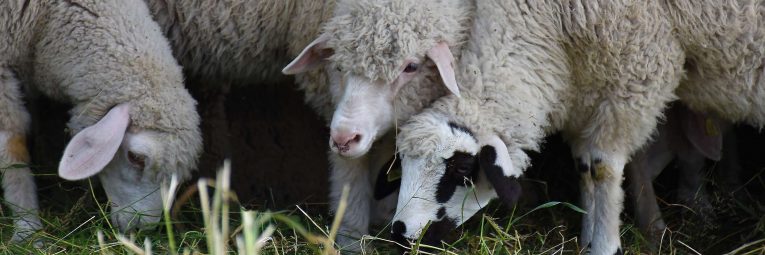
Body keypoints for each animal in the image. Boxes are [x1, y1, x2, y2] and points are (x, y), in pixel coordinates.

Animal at [388, 0, 680, 254]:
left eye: (461, 168)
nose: (401, 234)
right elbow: (585, 167)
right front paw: (587, 239)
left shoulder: (632, 82)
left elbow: (603, 169)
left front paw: (605, 246)